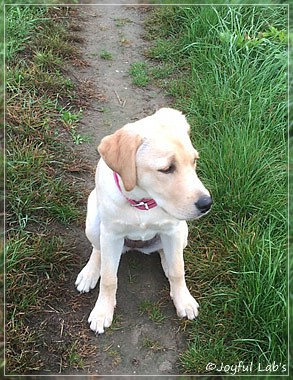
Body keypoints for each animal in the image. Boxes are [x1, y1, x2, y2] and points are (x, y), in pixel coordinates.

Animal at [74, 107, 211, 332]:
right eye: (167, 169)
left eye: (194, 161)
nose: (207, 203)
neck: (143, 203)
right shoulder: (111, 235)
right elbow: (109, 279)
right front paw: (102, 311)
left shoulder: (172, 230)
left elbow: (178, 270)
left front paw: (183, 300)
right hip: (93, 221)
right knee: (98, 250)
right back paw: (90, 273)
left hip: (182, 233)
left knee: (168, 255)